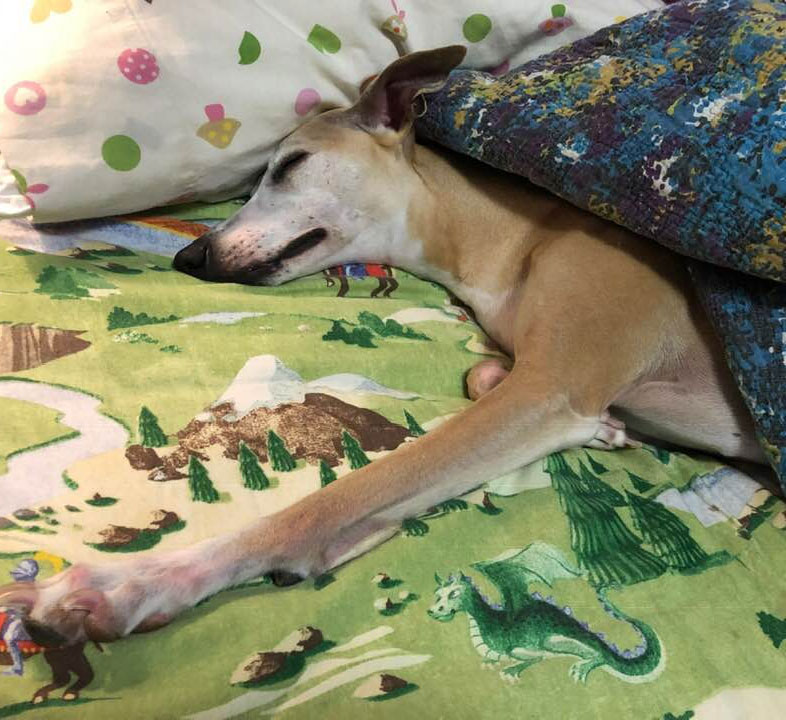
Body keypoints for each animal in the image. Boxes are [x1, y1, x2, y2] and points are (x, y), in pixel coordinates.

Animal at [0, 46, 766, 647]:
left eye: (290, 164)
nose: (190, 257)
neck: (514, 239)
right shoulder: (543, 384)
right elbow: (482, 377)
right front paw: (607, 431)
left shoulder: (554, 382)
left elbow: (333, 501)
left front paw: (125, 586)